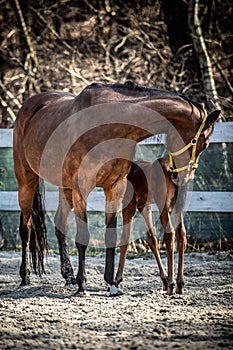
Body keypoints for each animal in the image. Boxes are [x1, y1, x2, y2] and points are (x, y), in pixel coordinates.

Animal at [13, 81, 219, 296]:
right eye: (204, 143)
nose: (183, 178)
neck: (109, 126)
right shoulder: (82, 188)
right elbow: (83, 237)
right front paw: (82, 285)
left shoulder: (114, 188)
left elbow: (111, 234)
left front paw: (111, 283)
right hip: (26, 181)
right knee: (26, 228)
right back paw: (25, 276)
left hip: (66, 188)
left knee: (60, 224)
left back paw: (68, 276)